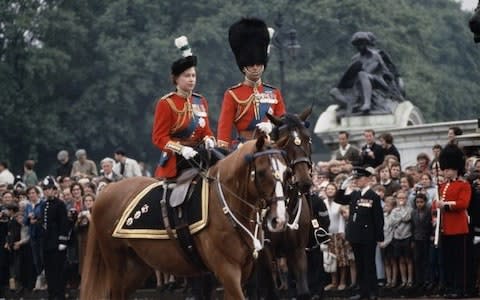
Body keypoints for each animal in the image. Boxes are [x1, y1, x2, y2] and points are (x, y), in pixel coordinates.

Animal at [79, 137, 288, 300]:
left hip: (137, 266)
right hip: (116, 263)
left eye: (286, 171)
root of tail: (106, 190)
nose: (279, 220)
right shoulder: (227, 269)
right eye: (262, 172)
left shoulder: (243, 270)